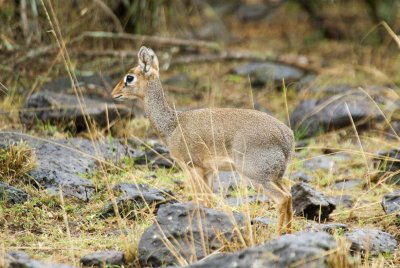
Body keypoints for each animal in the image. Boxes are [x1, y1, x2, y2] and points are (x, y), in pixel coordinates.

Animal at [111, 46, 294, 234]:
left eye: (129, 77)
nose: (114, 94)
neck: (173, 125)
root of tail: (287, 137)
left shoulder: (193, 167)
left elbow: (202, 201)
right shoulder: (208, 171)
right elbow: (207, 202)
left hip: (257, 177)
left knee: (283, 198)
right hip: (275, 177)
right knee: (289, 196)